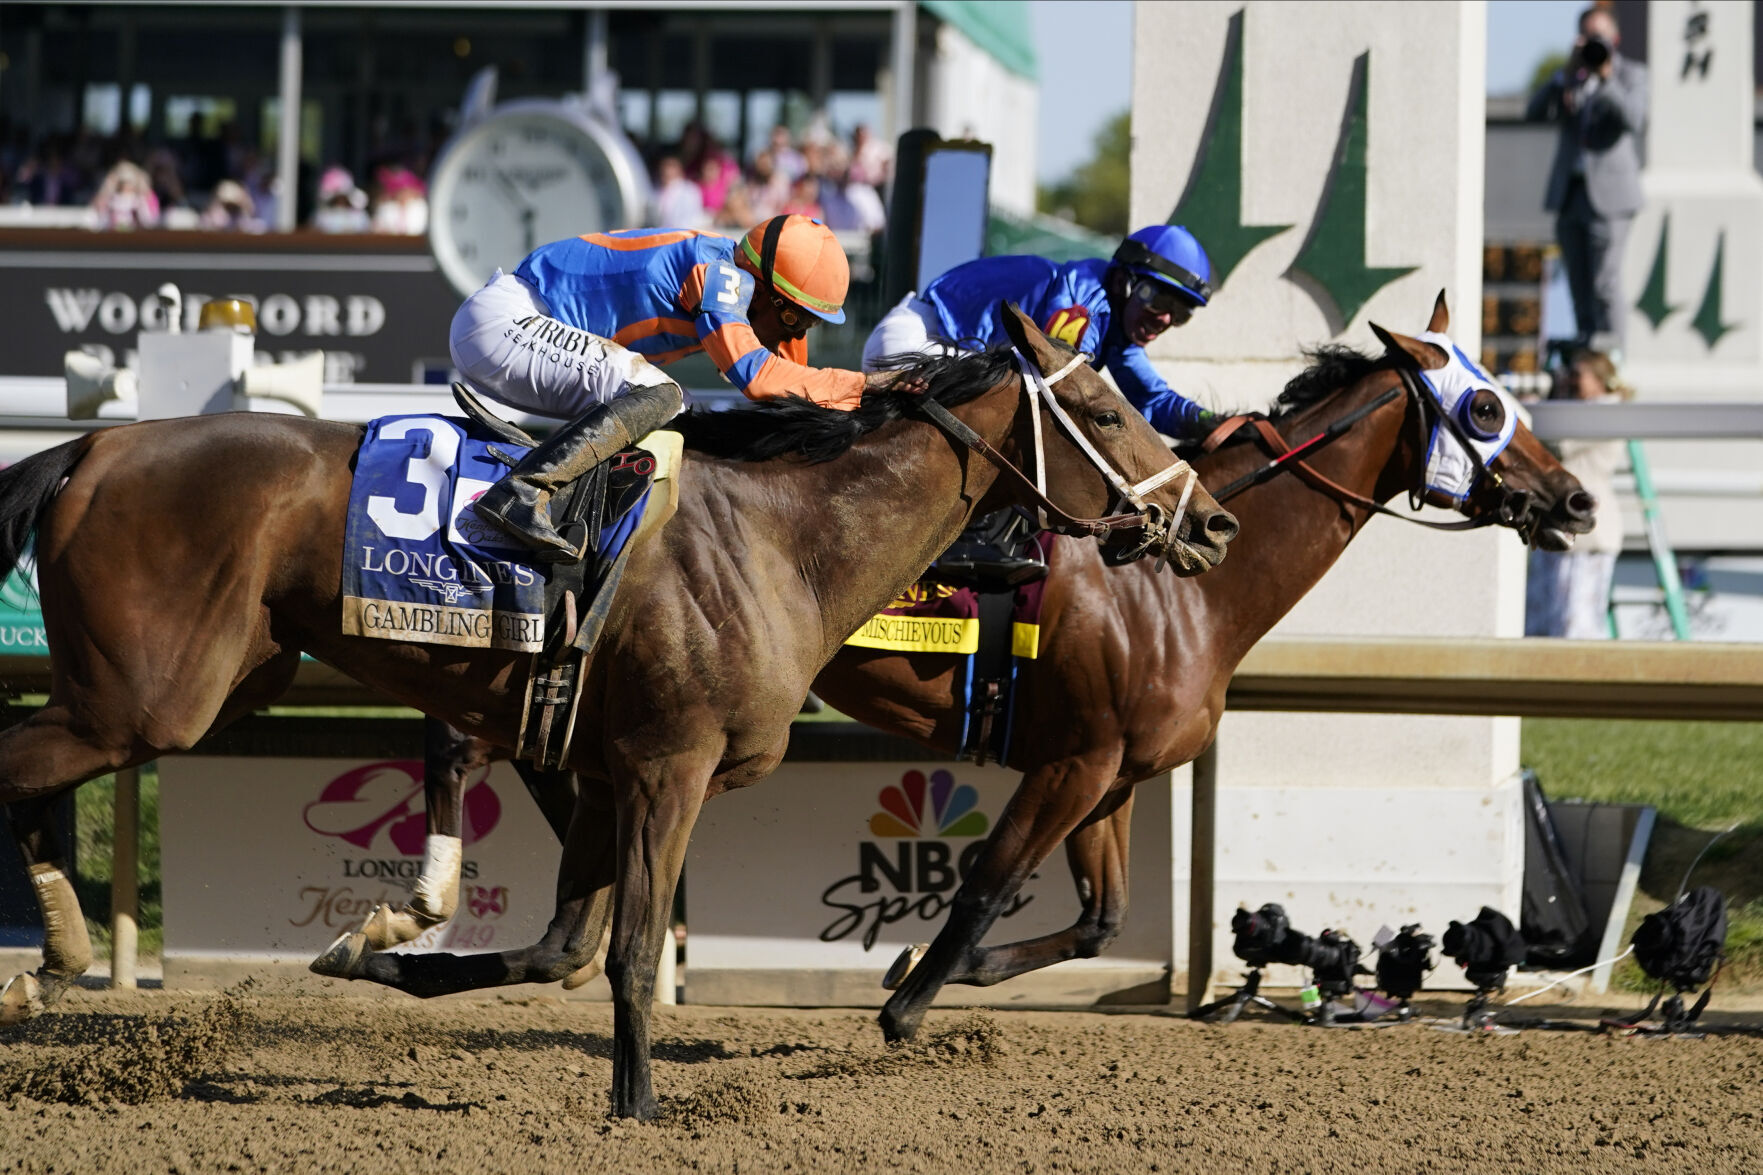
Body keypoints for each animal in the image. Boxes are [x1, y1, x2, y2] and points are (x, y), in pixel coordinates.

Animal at [0, 303, 1241, 1115]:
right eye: (1101, 410)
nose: (1210, 519)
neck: (781, 545)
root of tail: (93, 444)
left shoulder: (596, 769)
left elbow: (565, 942)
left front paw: (370, 948)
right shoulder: (663, 766)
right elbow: (633, 950)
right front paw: (639, 1107)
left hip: (198, 683)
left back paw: (52, 952)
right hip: (144, 700)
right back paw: (49, 951)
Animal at [403, 291, 1600, 1037]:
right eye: (1485, 405)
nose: (1578, 499)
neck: (1180, 592)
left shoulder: (1114, 774)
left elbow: (1100, 916)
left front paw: (936, 970)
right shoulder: (1071, 761)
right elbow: (986, 879)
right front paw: (904, 997)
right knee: (483, 744)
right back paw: (433, 896)